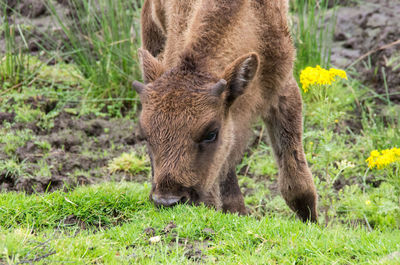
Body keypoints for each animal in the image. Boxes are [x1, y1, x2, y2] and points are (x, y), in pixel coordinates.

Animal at [134, 0, 318, 222]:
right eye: (145, 136)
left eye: (211, 134)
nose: (168, 200)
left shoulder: (283, 91)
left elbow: (298, 186)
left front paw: (314, 223)